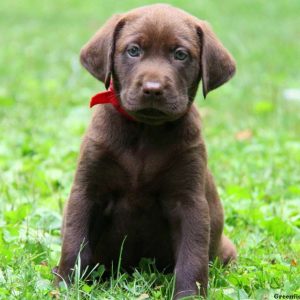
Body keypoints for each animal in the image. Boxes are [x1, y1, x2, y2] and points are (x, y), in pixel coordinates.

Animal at [56, 3, 237, 298]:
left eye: (180, 54)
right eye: (133, 50)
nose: (153, 89)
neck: (145, 131)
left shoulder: (189, 201)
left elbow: (192, 257)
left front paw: (189, 295)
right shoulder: (87, 191)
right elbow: (74, 244)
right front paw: (65, 288)